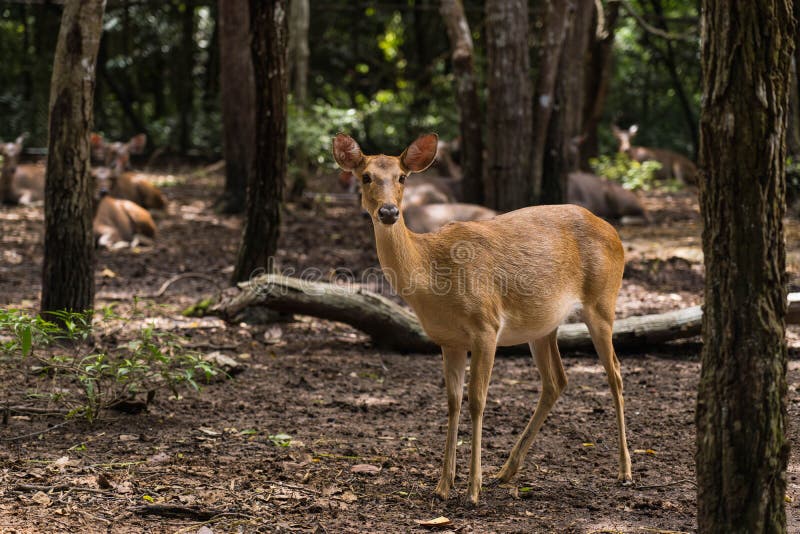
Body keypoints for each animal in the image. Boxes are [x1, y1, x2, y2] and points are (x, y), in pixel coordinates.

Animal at [332, 133, 631, 505]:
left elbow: (477, 400)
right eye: (366, 177)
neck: (432, 273)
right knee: (556, 381)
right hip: (543, 324)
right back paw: (506, 471)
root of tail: (614, 232)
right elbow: (452, 401)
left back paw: (624, 471)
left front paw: (472, 490)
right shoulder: (448, 340)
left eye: (402, 177)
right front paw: (443, 485)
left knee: (615, 373)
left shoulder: (486, 326)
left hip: (603, 300)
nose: (388, 211)